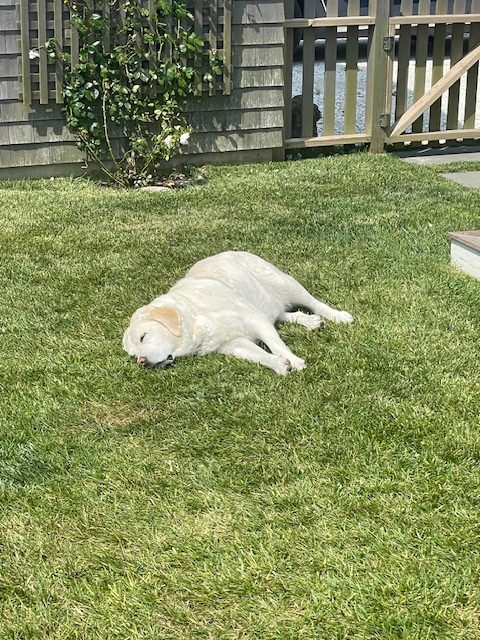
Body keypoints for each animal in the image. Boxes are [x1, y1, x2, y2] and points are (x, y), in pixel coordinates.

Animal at [123, 251, 353, 375]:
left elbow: (277, 345)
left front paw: (294, 361)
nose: (141, 362)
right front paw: (279, 365)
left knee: (314, 303)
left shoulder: (253, 319)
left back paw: (338, 316)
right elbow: (258, 356)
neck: (195, 321)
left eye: (143, 336)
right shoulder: (232, 344)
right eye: (133, 354)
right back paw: (310, 322)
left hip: (284, 283)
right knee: (282, 314)